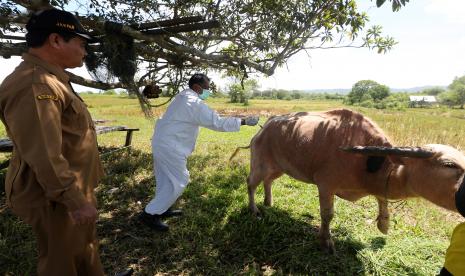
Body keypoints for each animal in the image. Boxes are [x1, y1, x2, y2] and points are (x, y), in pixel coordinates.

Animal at [241, 108, 464, 252]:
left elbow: (382, 200)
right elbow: (327, 215)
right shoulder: (325, 185)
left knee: (268, 182)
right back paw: (255, 209)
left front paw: (384, 223)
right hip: (260, 165)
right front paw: (325, 240)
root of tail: (264, 127)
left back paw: (268, 202)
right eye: (449, 164)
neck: (367, 162)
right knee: (251, 184)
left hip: (279, 168)